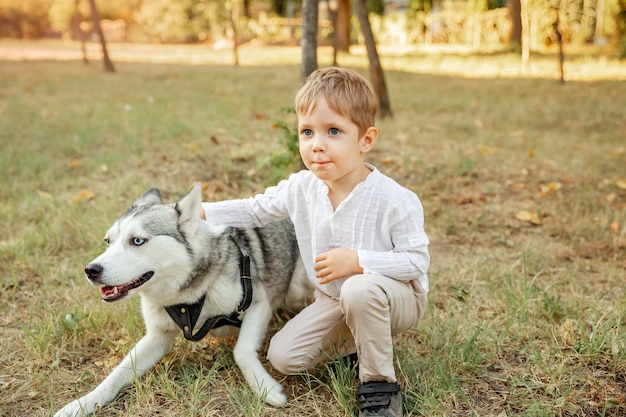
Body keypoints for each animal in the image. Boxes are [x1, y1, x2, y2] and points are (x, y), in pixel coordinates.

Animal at [54, 184, 312, 414]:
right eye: (108, 242)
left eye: (137, 240)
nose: (91, 270)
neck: (189, 297)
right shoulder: (157, 337)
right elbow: (116, 374)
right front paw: (81, 404)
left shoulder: (258, 304)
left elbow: (241, 350)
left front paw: (265, 388)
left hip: (298, 286)